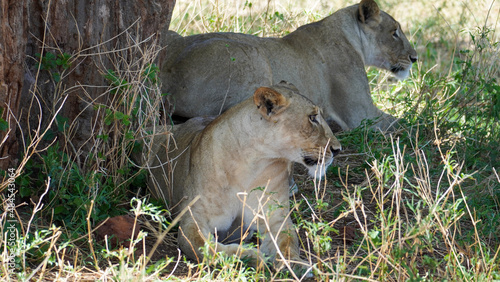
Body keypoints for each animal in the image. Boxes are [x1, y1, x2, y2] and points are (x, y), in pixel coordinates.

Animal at [143, 82, 342, 276]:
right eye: (312, 117)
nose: (337, 149)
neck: (252, 163)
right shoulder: (193, 219)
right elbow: (205, 248)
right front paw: (251, 257)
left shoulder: (276, 217)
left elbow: (288, 242)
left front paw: (295, 264)